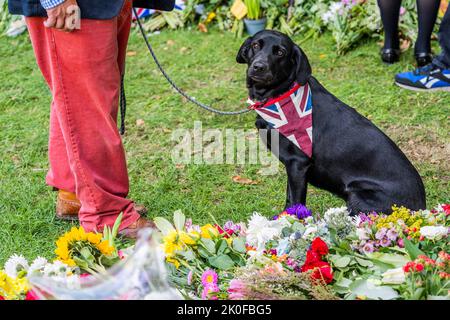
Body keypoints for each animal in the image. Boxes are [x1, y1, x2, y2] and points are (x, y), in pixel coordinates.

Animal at [237, 30, 428, 215]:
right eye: (255, 45)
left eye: (280, 52)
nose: (258, 67)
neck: (280, 94)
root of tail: (422, 208)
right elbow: (289, 198)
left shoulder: (297, 164)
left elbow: (295, 202)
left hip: (357, 196)